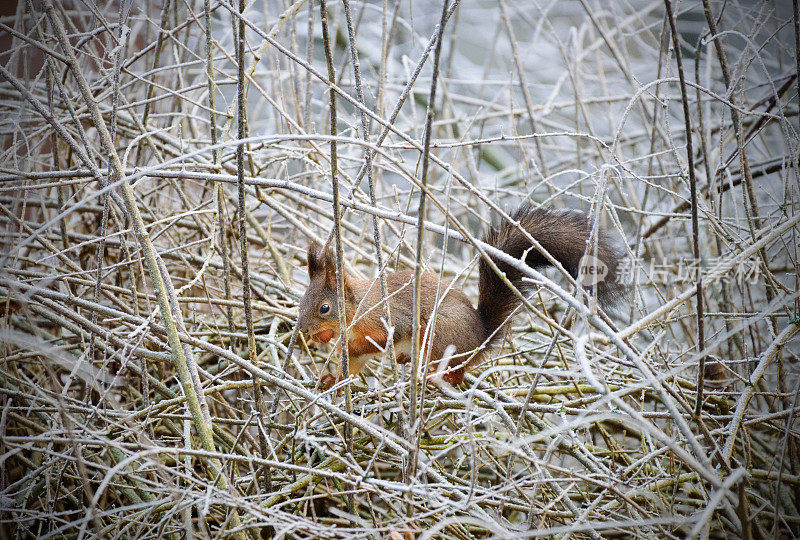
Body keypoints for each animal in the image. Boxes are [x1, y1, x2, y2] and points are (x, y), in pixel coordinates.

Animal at [296, 206, 620, 388]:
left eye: (324, 308)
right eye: (302, 303)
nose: (303, 331)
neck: (356, 308)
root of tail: (481, 337)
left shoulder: (384, 318)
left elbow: (381, 338)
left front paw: (343, 348)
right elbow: (352, 366)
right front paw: (332, 380)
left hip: (440, 334)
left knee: (458, 371)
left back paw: (437, 377)